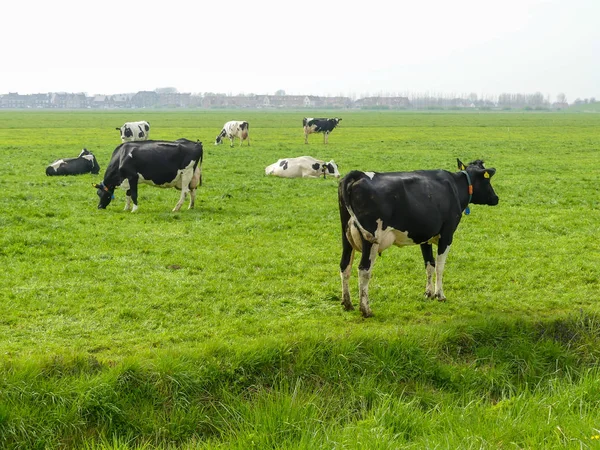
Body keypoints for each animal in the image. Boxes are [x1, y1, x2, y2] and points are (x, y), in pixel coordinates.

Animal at [340, 160, 500, 318]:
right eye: (487, 180)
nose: (496, 198)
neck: (455, 186)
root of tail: (358, 174)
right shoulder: (447, 235)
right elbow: (440, 266)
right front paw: (440, 295)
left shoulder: (425, 237)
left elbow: (429, 264)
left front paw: (428, 293)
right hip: (371, 240)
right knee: (364, 270)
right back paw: (366, 309)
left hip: (346, 238)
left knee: (345, 265)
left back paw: (347, 304)